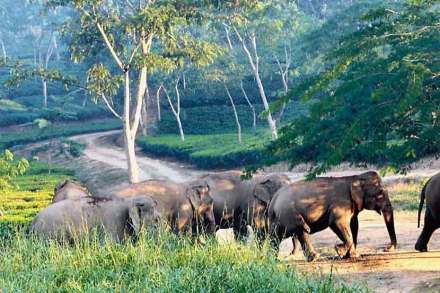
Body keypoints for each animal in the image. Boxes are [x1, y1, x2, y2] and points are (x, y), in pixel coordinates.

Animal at [266, 170, 398, 262]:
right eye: (380, 193)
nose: (386, 248)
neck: (354, 177)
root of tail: (273, 201)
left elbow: (354, 225)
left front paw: (351, 255)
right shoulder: (341, 203)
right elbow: (336, 222)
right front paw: (341, 251)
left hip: (279, 219)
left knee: (276, 236)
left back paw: (272, 260)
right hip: (289, 213)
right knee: (303, 230)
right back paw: (315, 257)